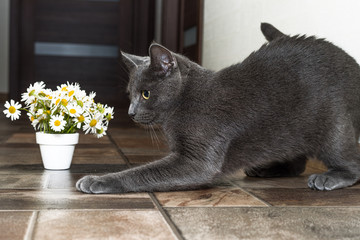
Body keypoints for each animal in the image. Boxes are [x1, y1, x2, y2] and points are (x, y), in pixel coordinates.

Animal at [76, 23, 360, 193]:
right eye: (130, 95)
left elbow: (141, 173)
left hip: (332, 124)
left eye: (145, 94)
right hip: (288, 130)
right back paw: (268, 169)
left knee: (351, 162)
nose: (131, 113)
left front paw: (97, 180)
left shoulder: (196, 160)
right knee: (298, 160)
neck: (184, 102)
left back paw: (330, 177)